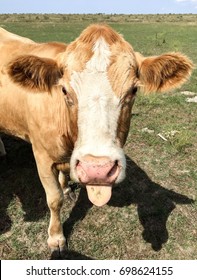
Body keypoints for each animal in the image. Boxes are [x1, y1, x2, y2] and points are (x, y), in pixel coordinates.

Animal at [0, 24, 194, 256]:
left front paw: (67, 187)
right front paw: (56, 238)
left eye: (133, 90)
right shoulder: (42, 157)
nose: (97, 169)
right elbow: (54, 199)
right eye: (64, 90)